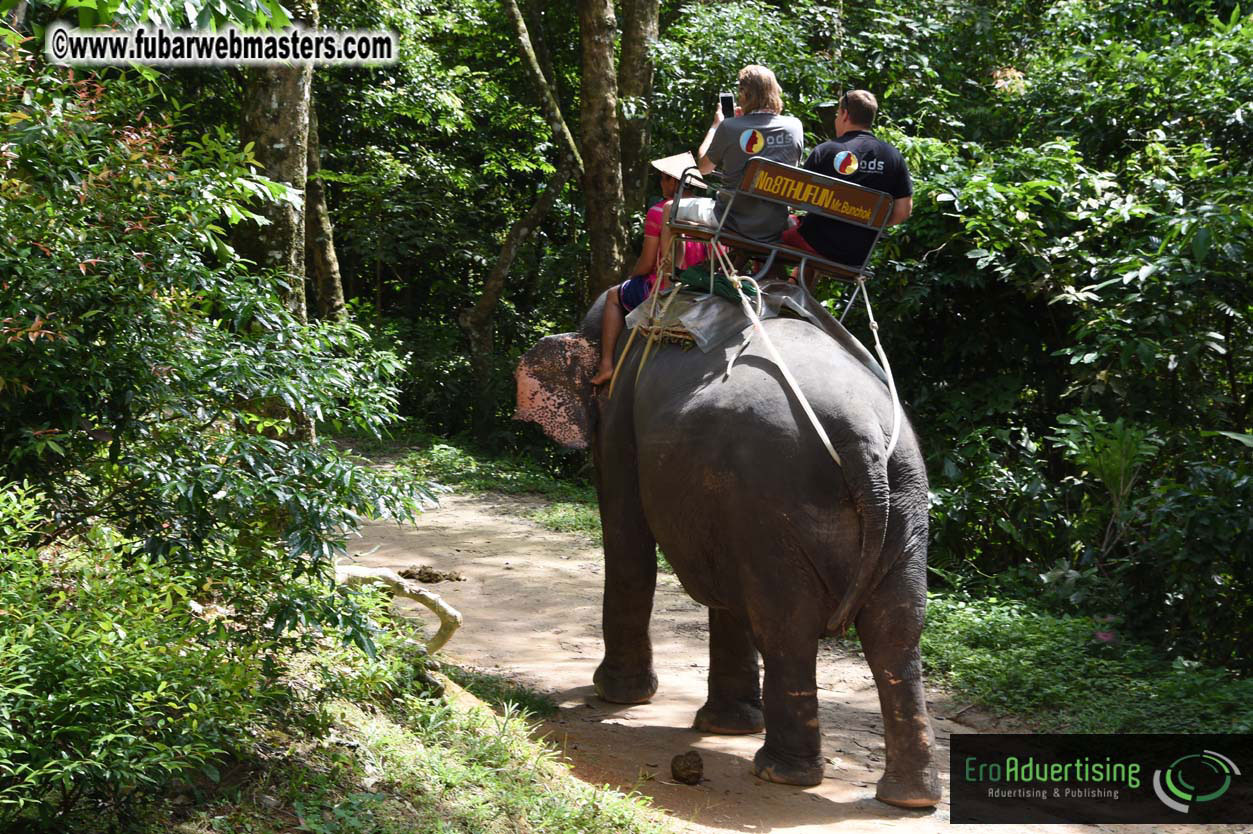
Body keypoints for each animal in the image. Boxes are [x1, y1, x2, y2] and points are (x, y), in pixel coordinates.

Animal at [514, 282, 942, 808]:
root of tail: (859, 432)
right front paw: (726, 726)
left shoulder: (617, 417)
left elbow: (628, 543)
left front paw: (618, 696)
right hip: (904, 502)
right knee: (897, 629)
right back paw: (909, 798)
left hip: (777, 498)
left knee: (786, 626)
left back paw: (780, 773)